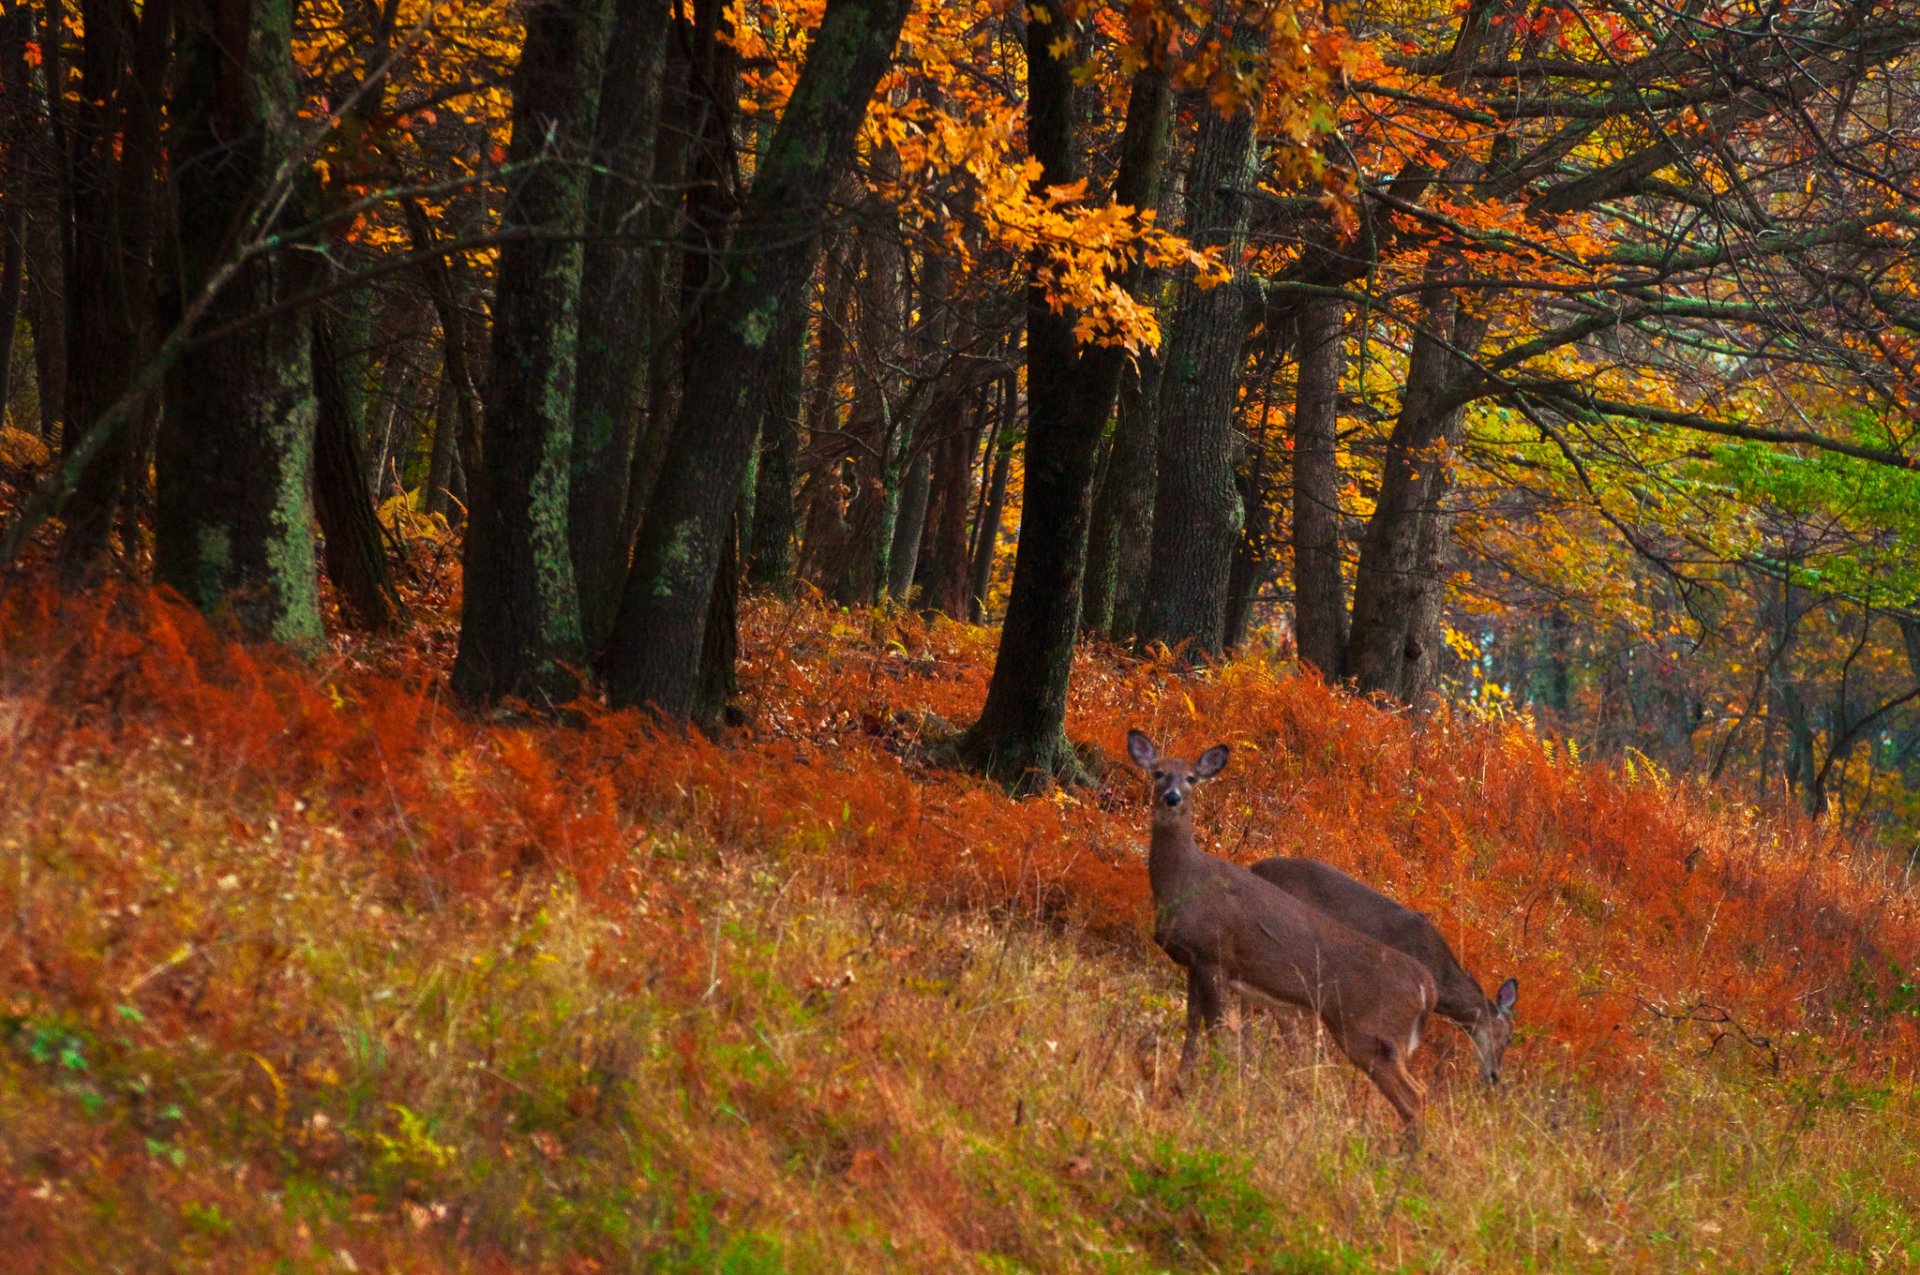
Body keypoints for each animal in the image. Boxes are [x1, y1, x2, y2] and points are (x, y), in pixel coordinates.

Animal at [1121, 733, 1443, 1129]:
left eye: (1192, 779)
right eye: (1158, 773)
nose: (1172, 797)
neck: (1184, 881)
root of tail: (1427, 988)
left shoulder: (1214, 954)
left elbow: (1219, 1034)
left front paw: (1211, 1098)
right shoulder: (1193, 961)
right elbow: (1193, 1026)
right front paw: (1180, 1087)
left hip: (1370, 1032)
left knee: (1414, 1097)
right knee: (1417, 1094)